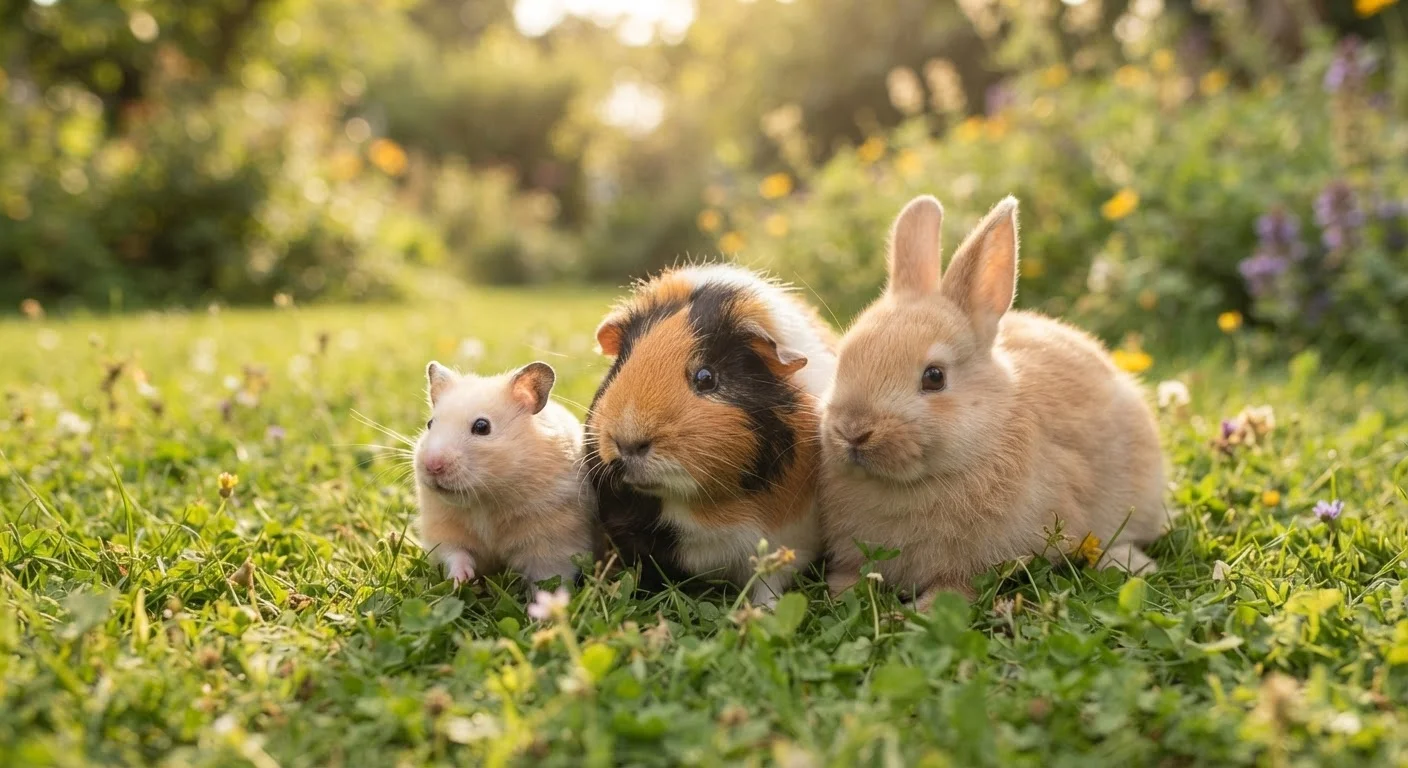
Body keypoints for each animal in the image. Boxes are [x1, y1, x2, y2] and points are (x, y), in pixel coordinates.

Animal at [415, 360, 596, 589]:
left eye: (482, 426)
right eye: (430, 424)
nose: (432, 466)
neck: (484, 500)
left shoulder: (552, 544)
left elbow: (548, 579)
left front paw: (541, 600)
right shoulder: (443, 528)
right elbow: (455, 554)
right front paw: (460, 581)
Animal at [583, 264, 838, 606]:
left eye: (706, 378)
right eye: (620, 367)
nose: (626, 442)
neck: (700, 510)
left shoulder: (784, 539)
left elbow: (767, 582)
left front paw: (763, 610)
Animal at [819, 195, 1172, 609]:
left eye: (934, 377)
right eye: (842, 360)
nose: (853, 431)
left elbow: (955, 588)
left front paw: (922, 610)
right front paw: (842, 592)